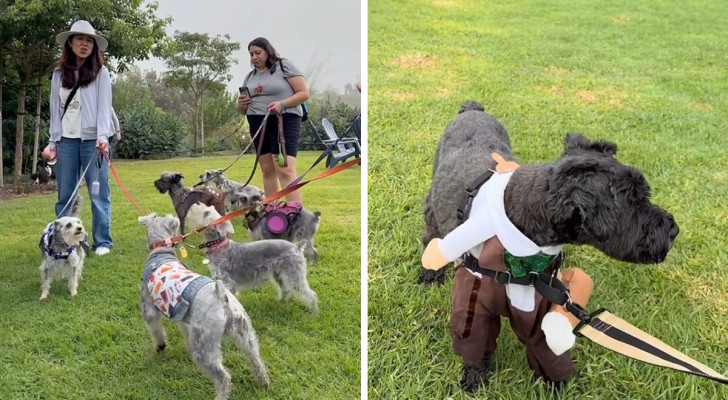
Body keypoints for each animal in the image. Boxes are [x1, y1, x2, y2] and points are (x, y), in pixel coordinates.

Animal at [139, 212, 270, 396]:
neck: (161, 252)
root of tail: (222, 298)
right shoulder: (183, 317)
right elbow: (184, 331)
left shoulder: (149, 310)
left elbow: (156, 331)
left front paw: (160, 347)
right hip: (245, 334)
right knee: (255, 359)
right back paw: (264, 382)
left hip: (204, 348)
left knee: (223, 377)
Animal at [188, 205, 318, 314]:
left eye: (206, 213)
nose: (193, 205)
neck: (219, 247)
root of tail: (297, 246)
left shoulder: (227, 282)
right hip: (278, 275)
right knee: (285, 290)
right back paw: (280, 302)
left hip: (294, 275)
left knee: (311, 295)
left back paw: (314, 313)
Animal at [424, 101, 680, 392]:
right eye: (634, 201)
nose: (673, 231)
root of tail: (472, 109)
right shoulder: (476, 300)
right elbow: (476, 342)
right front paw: (474, 378)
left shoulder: (539, 302)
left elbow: (546, 343)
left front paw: (555, 383)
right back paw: (430, 274)